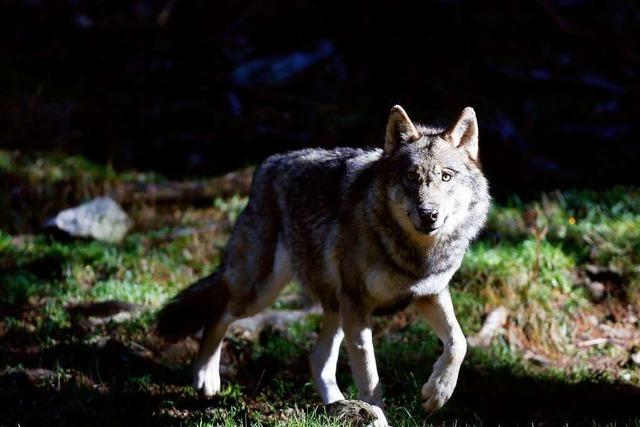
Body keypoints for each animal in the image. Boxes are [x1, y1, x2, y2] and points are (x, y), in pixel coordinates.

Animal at [159, 104, 490, 424]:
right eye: (411, 177)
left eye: (446, 176)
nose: (428, 214)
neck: (415, 255)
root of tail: (269, 164)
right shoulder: (358, 304)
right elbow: (370, 379)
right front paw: (377, 417)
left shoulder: (429, 293)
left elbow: (458, 343)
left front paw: (438, 393)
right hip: (261, 293)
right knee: (219, 313)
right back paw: (205, 378)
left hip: (332, 308)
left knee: (317, 358)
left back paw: (336, 406)